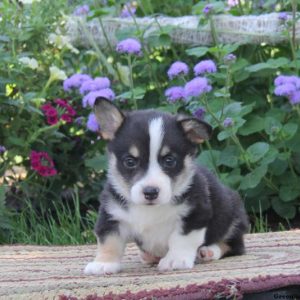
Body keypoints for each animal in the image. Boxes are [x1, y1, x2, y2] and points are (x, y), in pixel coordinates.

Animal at [84, 98, 248, 274]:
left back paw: (209, 251)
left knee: (234, 245)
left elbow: (181, 238)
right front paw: (103, 263)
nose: (150, 192)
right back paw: (149, 256)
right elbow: (109, 241)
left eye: (169, 160)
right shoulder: (111, 214)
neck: (150, 209)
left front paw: (175, 260)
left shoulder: (195, 213)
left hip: (233, 217)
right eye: (130, 161)